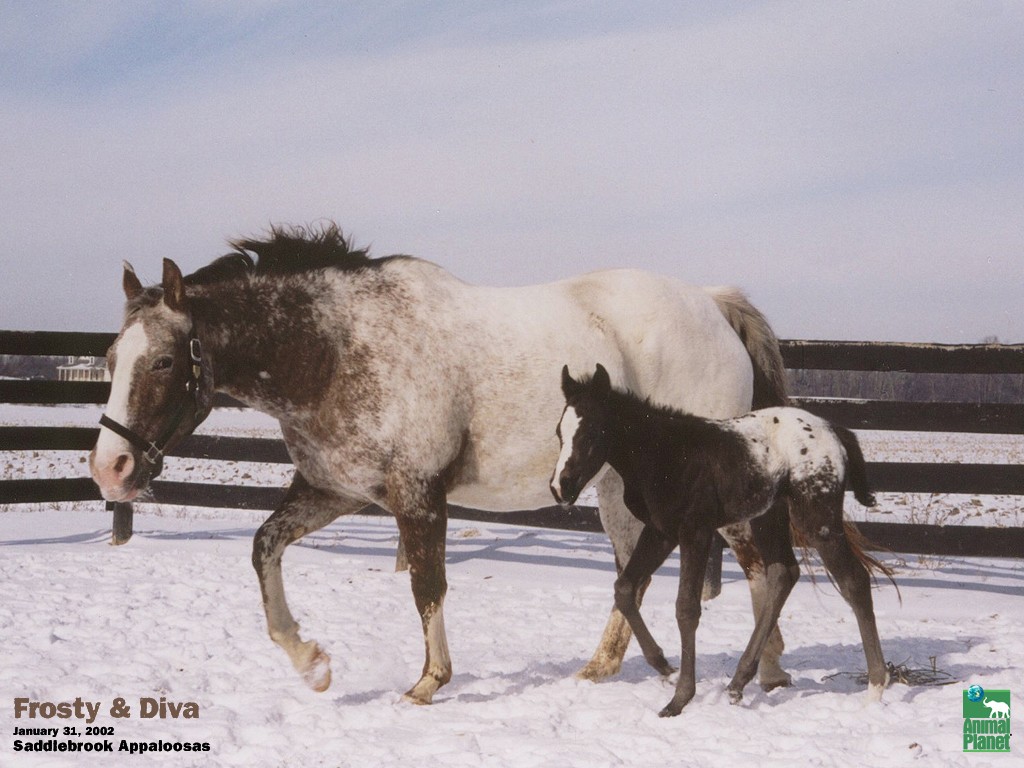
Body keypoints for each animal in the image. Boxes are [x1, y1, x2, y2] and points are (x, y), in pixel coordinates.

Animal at [90, 222, 790, 704]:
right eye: (110, 357)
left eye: (163, 361)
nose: (110, 469)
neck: (338, 350)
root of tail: (712, 304)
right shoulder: (337, 490)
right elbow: (264, 547)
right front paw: (312, 664)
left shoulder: (417, 494)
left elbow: (428, 586)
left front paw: (429, 682)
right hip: (620, 491)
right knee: (635, 575)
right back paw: (606, 669)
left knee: (760, 567)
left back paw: (766, 669)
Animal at [548, 364, 892, 720]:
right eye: (560, 432)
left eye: (591, 433)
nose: (561, 487)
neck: (664, 454)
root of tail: (834, 430)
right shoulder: (660, 532)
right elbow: (625, 589)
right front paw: (664, 666)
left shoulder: (695, 533)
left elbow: (686, 608)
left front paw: (679, 698)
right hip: (769, 518)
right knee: (783, 573)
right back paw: (738, 683)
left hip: (817, 520)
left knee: (854, 580)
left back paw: (875, 687)